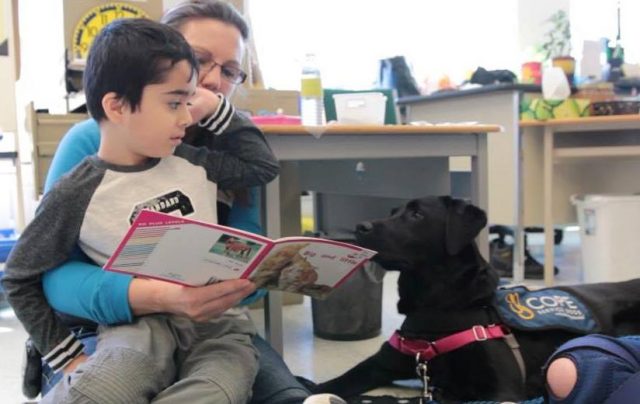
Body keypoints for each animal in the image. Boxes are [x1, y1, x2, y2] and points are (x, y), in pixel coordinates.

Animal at [314, 195, 640, 400]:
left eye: (416, 214)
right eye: (393, 212)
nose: (360, 227)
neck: (434, 308)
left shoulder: (503, 390)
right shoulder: (378, 365)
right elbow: (325, 385)